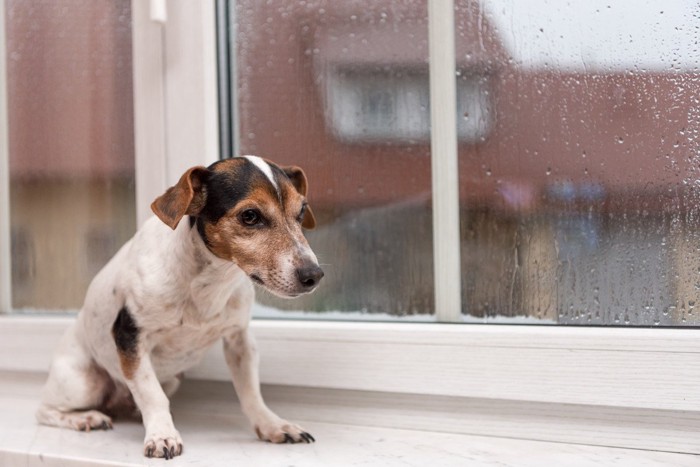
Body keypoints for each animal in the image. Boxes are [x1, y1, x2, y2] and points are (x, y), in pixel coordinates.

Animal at [36, 155, 326, 458]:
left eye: (302, 212)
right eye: (250, 216)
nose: (314, 275)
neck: (209, 281)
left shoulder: (240, 341)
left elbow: (251, 393)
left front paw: (272, 425)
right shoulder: (130, 336)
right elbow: (152, 395)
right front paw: (162, 435)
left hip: (170, 379)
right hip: (82, 383)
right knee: (45, 410)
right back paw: (85, 418)